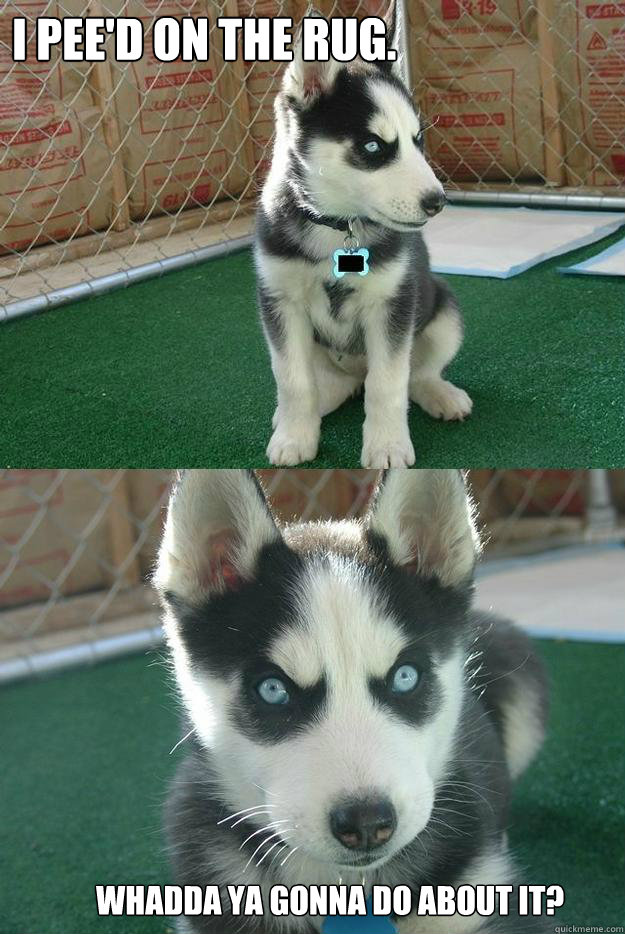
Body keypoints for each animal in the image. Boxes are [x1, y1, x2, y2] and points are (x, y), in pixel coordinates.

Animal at [256, 0, 470, 468]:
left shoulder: (392, 305)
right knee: (327, 385)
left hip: (444, 311)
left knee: (414, 374)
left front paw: (387, 445)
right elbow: (292, 379)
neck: (338, 226)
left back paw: (440, 394)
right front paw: (294, 436)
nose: (438, 201)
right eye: (373, 146)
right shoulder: (280, 302)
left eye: (417, 140)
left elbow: (388, 383)